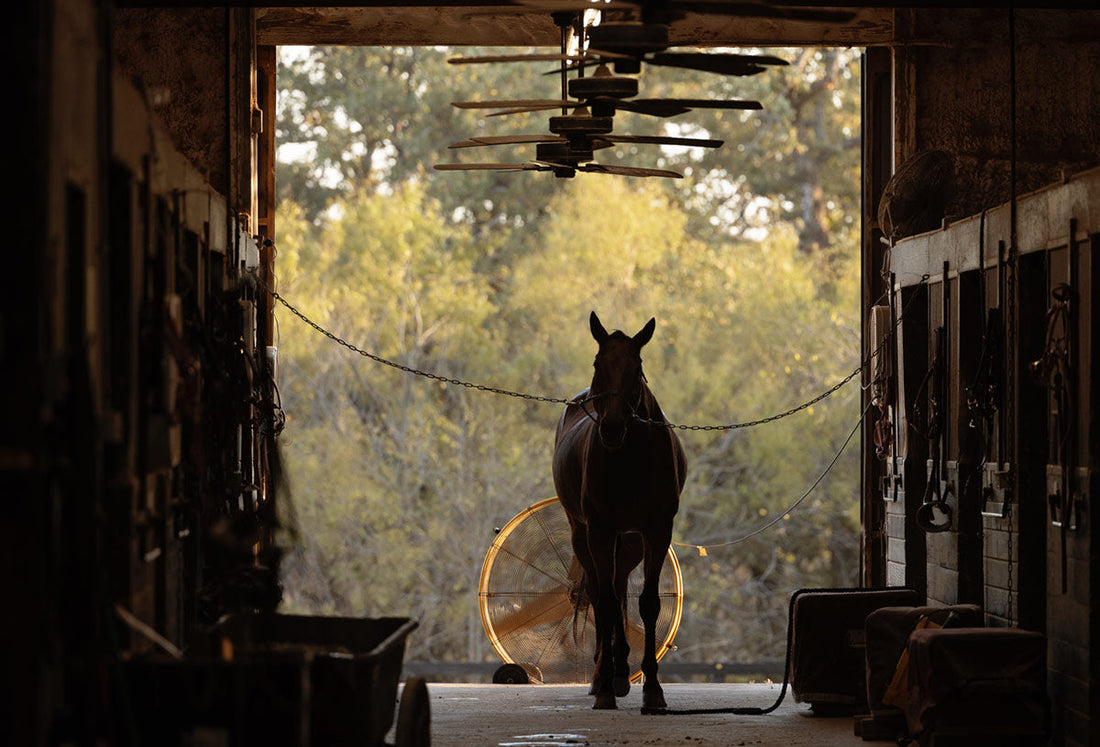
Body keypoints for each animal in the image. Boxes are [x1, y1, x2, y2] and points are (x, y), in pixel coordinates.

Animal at [552, 312, 687, 711]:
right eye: (598, 363)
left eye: (636, 367)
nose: (611, 428)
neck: (630, 459)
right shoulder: (599, 529)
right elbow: (607, 602)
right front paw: (605, 687)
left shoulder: (657, 531)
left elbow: (648, 604)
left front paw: (653, 689)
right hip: (584, 534)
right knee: (601, 594)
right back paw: (603, 675)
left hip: (629, 541)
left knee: (619, 585)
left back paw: (620, 670)